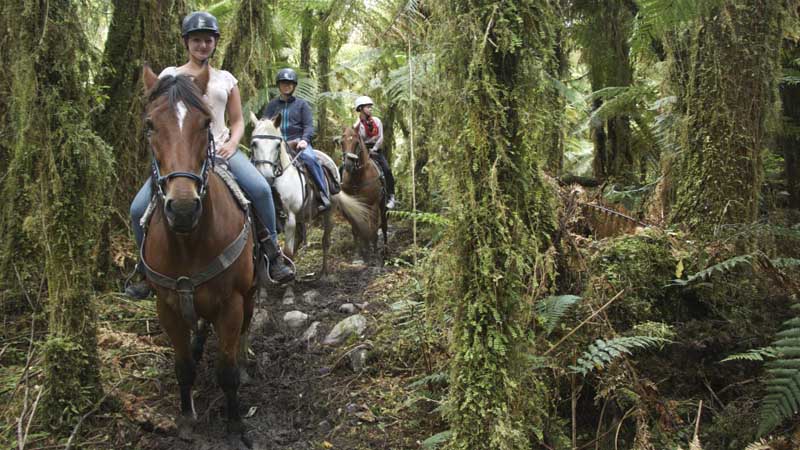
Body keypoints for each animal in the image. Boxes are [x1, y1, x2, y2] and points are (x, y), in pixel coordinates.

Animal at [142, 65, 255, 448]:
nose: (183, 208)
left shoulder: (232, 303)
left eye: (206, 123)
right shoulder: (166, 306)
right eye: (150, 124)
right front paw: (187, 418)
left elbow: (227, 370)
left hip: (251, 290)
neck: (188, 241)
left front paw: (235, 424)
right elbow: (183, 367)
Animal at [248, 113, 370, 284]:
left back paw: (324, 273)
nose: (266, 176)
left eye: (278, 145)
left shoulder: (290, 218)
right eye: (254, 144)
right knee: (299, 239)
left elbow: (287, 251)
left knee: (325, 241)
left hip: (329, 212)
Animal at [340, 125, 388, 264]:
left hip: (382, 206)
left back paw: (384, 252)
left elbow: (373, 229)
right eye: (341, 142)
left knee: (383, 226)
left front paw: (374, 255)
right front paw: (359, 255)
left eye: (357, 143)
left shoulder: (373, 205)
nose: (348, 165)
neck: (358, 177)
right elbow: (356, 229)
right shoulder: (352, 207)